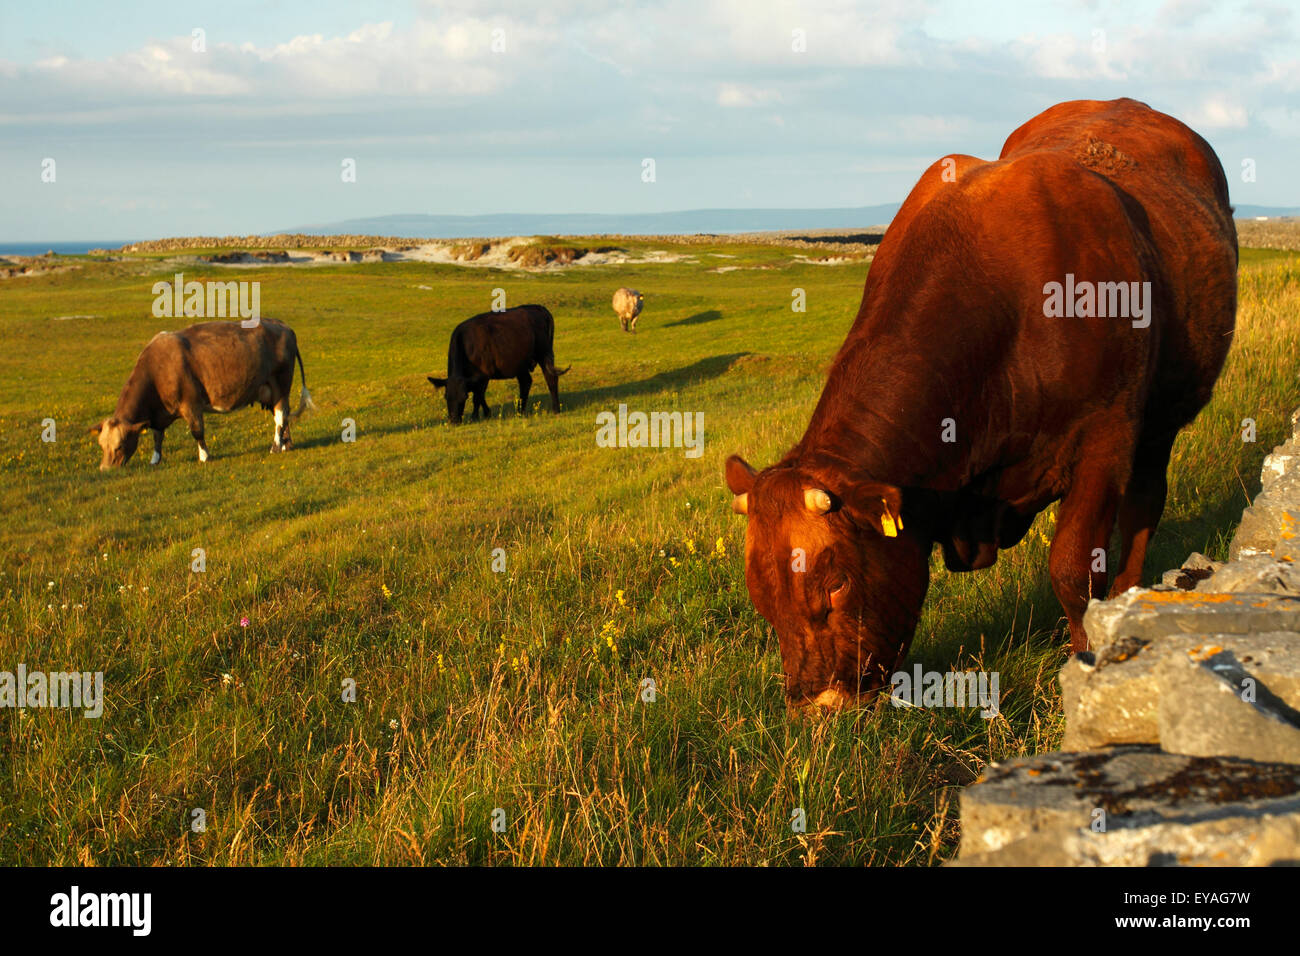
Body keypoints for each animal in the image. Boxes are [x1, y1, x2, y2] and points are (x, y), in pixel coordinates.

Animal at [90, 319, 313, 468]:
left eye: (119, 446)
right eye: (101, 445)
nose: (105, 469)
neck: (158, 368)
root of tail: (282, 325)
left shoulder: (191, 404)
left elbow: (197, 432)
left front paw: (205, 456)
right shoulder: (160, 414)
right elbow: (157, 436)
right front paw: (155, 459)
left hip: (281, 384)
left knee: (281, 415)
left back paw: (275, 447)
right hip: (269, 390)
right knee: (283, 416)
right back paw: (286, 445)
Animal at [426, 304, 569, 424]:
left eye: (464, 397)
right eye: (446, 397)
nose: (454, 421)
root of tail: (538, 307)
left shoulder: (483, 374)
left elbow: (477, 397)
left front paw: (475, 416)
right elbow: (480, 395)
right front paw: (487, 413)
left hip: (544, 353)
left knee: (551, 378)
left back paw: (556, 409)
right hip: (519, 361)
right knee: (526, 382)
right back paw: (519, 412)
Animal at [728, 98, 1232, 712]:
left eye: (836, 582)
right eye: (761, 597)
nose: (817, 706)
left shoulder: (1106, 438)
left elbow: (1074, 571)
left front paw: (1088, 660)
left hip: (1161, 422)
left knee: (1144, 507)